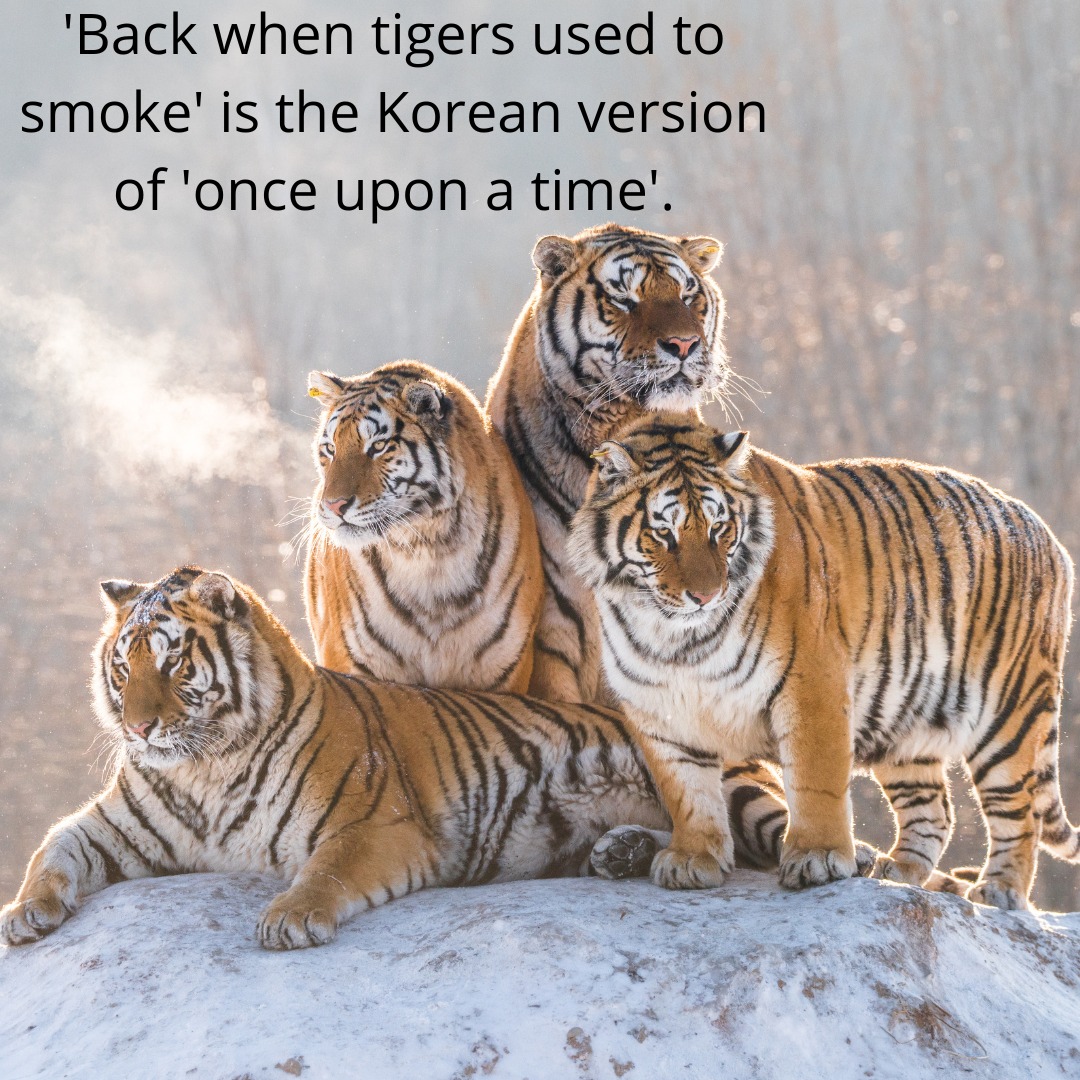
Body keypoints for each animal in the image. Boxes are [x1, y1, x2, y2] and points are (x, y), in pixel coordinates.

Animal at [0, 566, 678, 951]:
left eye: (172, 662)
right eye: (123, 667)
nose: (138, 728)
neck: (204, 769)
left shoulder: (377, 824)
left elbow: (327, 869)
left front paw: (290, 919)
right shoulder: (115, 824)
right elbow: (51, 847)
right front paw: (24, 913)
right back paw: (621, 852)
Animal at [568, 413, 1077, 910]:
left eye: (719, 529)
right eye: (663, 533)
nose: (706, 596)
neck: (674, 638)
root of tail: (1045, 532)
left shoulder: (810, 684)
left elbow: (815, 782)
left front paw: (819, 860)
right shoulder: (659, 710)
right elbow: (688, 792)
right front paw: (693, 860)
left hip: (1006, 715)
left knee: (1018, 812)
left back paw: (1000, 889)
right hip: (905, 725)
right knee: (934, 810)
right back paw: (898, 871)